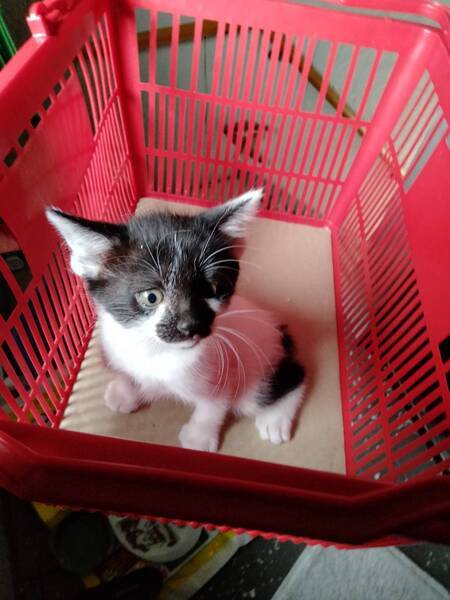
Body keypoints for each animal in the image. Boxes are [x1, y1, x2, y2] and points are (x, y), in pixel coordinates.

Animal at [46, 189, 305, 452]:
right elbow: (131, 376)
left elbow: (214, 403)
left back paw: (274, 420)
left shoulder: (225, 368)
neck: (155, 350)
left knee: (294, 376)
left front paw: (199, 437)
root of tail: (280, 329)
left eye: (212, 288)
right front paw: (125, 392)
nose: (192, 326)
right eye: (151, 297)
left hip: (259, 371)